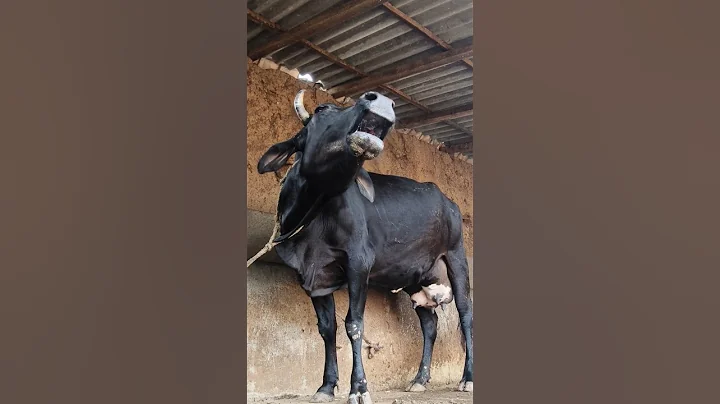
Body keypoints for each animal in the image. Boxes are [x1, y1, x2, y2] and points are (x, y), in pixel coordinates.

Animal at [253, 89, 473, 404]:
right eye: (320, 109)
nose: (379, 99)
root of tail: (450, 202)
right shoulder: (312, 277)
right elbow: (327, 329)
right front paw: (326, 386)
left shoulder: (359, 263)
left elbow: (354, 324)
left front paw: (358, 388)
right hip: (416, 277)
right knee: (429, 325)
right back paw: (419, 380)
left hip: (457, 259)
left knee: (466, 317)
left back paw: (467, 379)